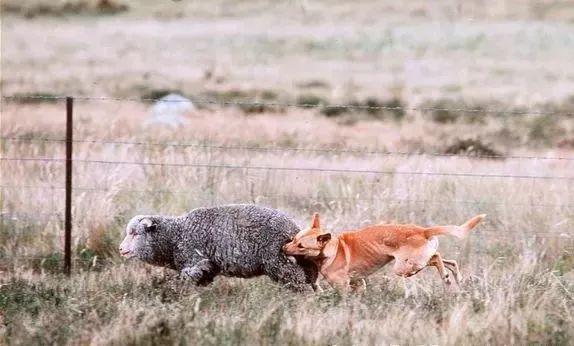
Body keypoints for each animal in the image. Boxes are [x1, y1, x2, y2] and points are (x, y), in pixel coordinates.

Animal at [120, 204, 322, 290]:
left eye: (135, 233)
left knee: (300, 285)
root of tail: (294, 229)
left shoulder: (193, 262)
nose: (121, 249)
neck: (175, 236)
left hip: (281, 264)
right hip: (300, 265)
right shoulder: (207, 268)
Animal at [284, 212, 486, 290]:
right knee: (449, 261)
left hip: (403, 267)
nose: (283, 248)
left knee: (436, 258)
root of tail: (422, 231)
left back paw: (446, 277)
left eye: (301, 246)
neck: (332, 249)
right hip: (414, 263)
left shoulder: (342, 287)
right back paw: (455, 276)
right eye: (294, 239)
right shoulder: (359, 284)